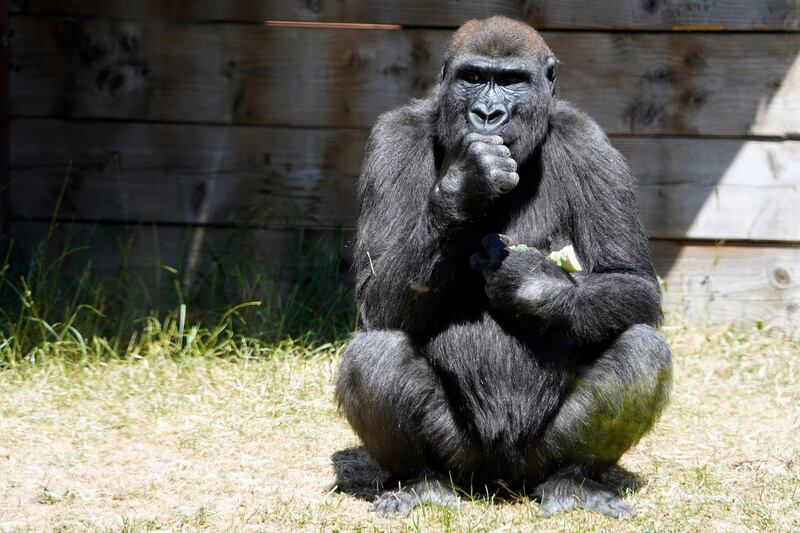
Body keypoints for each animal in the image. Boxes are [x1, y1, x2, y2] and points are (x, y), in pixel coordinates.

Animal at [334, 16, 672, 520]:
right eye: (474, 77)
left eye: (512, 81)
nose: (488, 115)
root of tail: (499, 483)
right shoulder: (392, 138)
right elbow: (379, 297)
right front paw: (465, 184)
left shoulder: (590, 142)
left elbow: (633, 283)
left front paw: (534, 285)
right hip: (463, 461)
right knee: (376, 352)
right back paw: (421, 481)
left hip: (537, 460)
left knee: (642, 349)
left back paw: (575, 481)